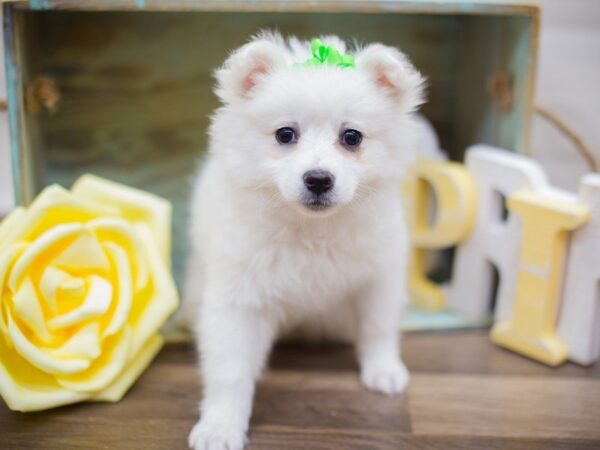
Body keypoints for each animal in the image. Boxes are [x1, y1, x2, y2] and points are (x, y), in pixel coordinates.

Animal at [185, 32, 424, 450]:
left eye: (351, 137)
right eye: (285, 134)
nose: (318, 179)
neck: (312, 230)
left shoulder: (379, 276)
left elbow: (378, 327)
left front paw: (384, 370)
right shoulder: (238, 298)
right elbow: (230, 370)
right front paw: (220, 426)